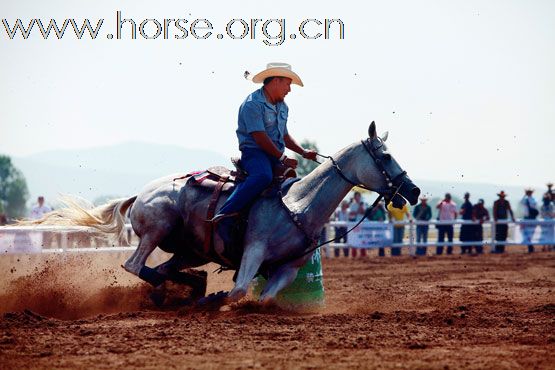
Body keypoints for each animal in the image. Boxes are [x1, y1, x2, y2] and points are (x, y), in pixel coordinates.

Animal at [31, 122, 422, 306]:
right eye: (385, 156)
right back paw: (184, 292)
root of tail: (141, 193)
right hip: (157, 228)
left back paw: (186, 288)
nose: (415, 191)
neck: (299, 205)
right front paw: (215, 299)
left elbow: (263, 298)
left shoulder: (289, 268)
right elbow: (238, 291)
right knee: (135, 265)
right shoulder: (253, 251)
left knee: (161, 269)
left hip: (190, 250)